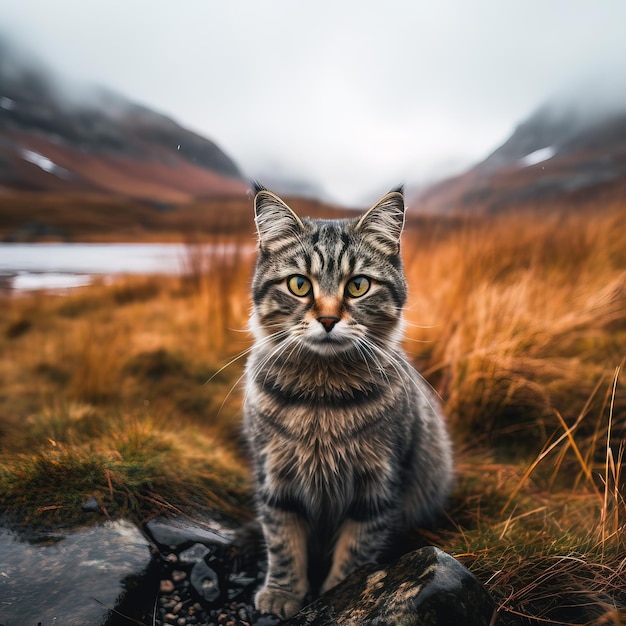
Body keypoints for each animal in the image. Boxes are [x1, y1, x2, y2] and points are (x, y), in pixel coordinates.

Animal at [241, 183, 450, 616]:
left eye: (357, 286)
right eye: (299, 285)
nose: (327, 319)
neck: (322, 402)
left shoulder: (378, 486)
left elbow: (356, 551)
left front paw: (340, 593)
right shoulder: (275, 478)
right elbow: (283, 543)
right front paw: (282, 593)